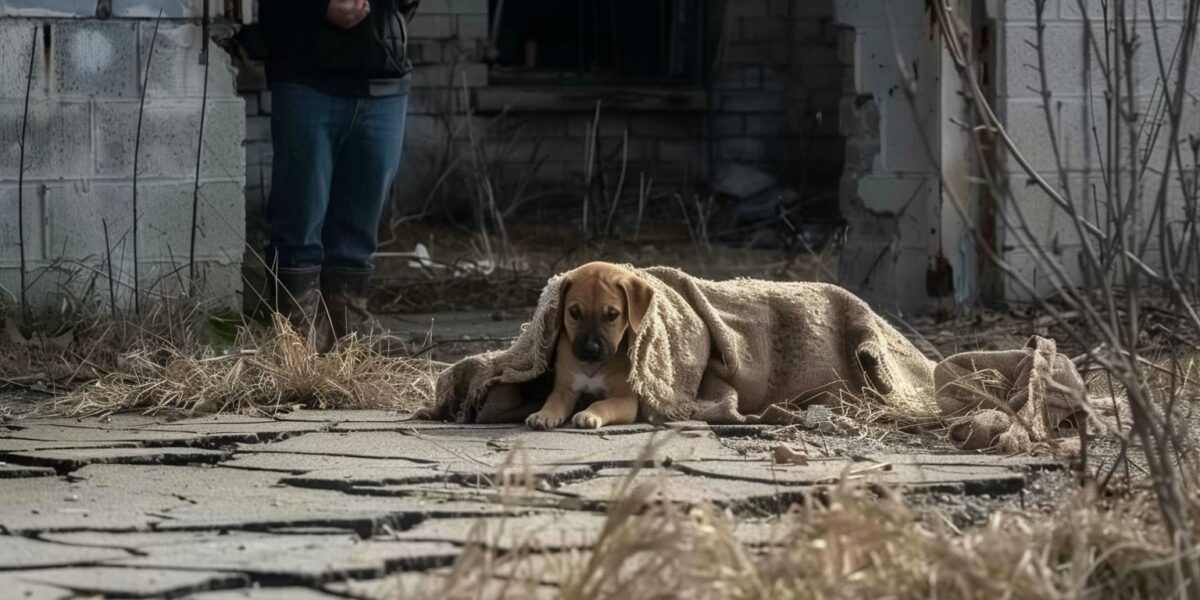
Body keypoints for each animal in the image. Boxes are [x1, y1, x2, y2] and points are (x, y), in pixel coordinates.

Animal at [528, 264, 657, 432]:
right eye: (574, 312)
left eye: (612, 315)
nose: (590, 349)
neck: (591, 366)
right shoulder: (564, 389)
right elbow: (552, 402)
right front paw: (543, 414)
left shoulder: (625, 398)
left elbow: (602, 404)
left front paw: (589, 414)